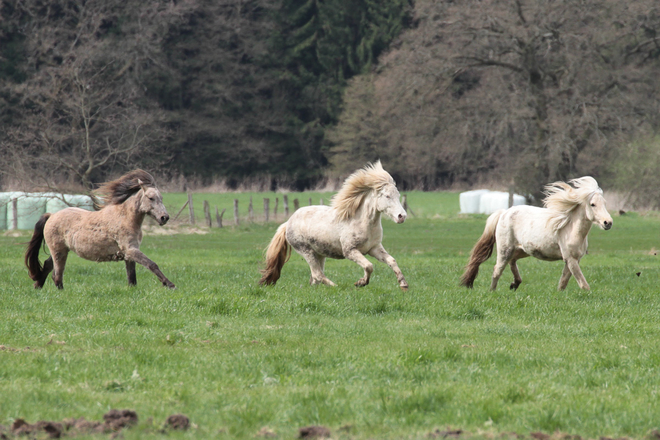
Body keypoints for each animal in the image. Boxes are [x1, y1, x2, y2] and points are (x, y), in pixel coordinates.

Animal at [25, 168, 175, 288]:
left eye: (161, 198)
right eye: (151, 198)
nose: (164, 217)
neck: (125, 218)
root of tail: (51, 215)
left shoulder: (129, 254)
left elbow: (132, 278)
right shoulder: (131, 250)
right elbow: (151, 264)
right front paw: (169, 284)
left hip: (61, 250)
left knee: (48, 266)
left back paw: (38, 286)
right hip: (58, 251)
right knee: (57, 275)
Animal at [258, 161, 408, 288]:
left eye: (398, 195)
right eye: (387, 196)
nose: (402, 216)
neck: (362, 223)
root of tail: (288, 223)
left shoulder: (374, 248)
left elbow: (392, 261)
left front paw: (403, 284)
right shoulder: (350, 251)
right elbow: (369, 266)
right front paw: (361, 283)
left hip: (319, 254)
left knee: (314, 278)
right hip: (306, 251)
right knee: (318, 275)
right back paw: (336, 286)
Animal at [462, 177, 612, 290]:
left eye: (605, 203)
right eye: (592, 204)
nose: (608, 222)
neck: (571, 229)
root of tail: (503, 213)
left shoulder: (574, 259)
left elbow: (563, 282)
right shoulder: (570, 259)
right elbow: (583, 285)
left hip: (522, 250)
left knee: (512, 261)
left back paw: (515, 284)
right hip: (505, 250)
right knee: (497, 270)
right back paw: (493, 291)